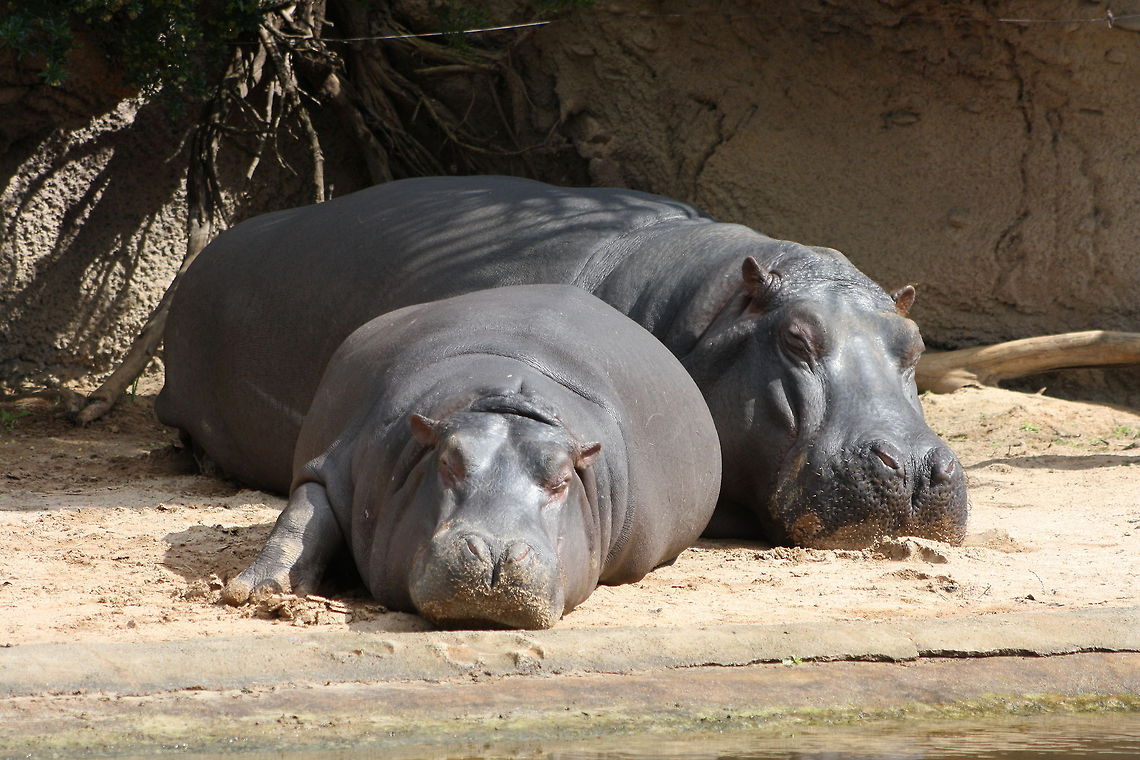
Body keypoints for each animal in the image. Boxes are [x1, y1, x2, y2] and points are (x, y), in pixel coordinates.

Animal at [217, 285, 720, 628]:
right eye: (448, 462)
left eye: (561, 481)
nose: (495, 554)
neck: (509, 400)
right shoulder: (335, 467)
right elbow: (299, 520)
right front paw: (255, 591)